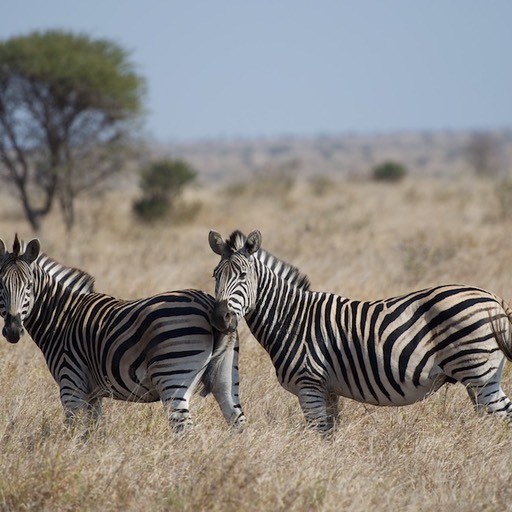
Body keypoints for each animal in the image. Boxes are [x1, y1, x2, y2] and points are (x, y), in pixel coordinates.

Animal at [0, 236, 246, 432]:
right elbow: (91, 432)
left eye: (29, 285)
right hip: (225, 375)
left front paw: (67, 456)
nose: (12, 330)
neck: (62, 316)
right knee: (237, 419)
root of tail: (209, 305)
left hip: (174, 377)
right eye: (0, 285)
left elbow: (71, 429)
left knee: (184, 429)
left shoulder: (71, 383)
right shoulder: (93, 393)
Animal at [207, 229, 512, 432]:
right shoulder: (327, 391)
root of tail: (494, 298)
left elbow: (319, 438)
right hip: (479, 378)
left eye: (242, 276)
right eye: (215, 275)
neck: (291, 318)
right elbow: (330, 438)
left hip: (478, 374)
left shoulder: (309, 387)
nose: (220, 317)